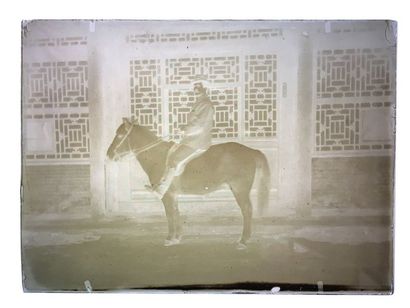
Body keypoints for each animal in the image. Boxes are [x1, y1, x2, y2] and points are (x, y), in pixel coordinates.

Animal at [107, 118, 270, 250]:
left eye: (120, 135)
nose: (109, 154)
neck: (158, 156)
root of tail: (251, 151)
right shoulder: (173, 195)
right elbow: (176, 213)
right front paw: (177, 237)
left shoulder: (166, 196)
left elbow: (170, 215)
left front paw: (169, 239)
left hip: (239, 190)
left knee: (247, 211)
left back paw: (243, 241)